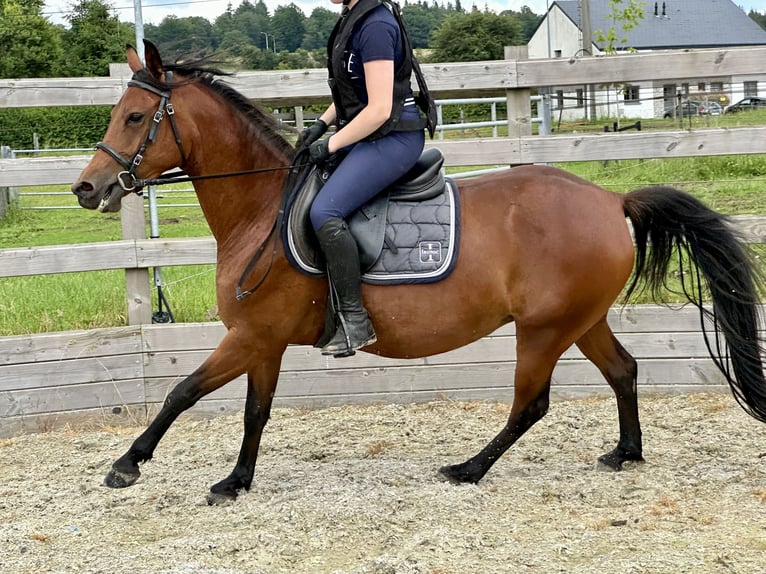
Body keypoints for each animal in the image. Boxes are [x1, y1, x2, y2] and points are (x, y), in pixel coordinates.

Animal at [73, 42, 766, 506]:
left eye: (134, 118)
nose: (87, 188)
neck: (262, 209)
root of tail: (610, 199)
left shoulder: (249, 337)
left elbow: (181, 392)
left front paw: (127, 464)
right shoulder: (263, 342)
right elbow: (254, 413)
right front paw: (236, 481)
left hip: (544, 329)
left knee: (531, 403)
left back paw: (468, 469)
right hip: (580, 319)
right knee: (623, 370)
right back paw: (625, 452)